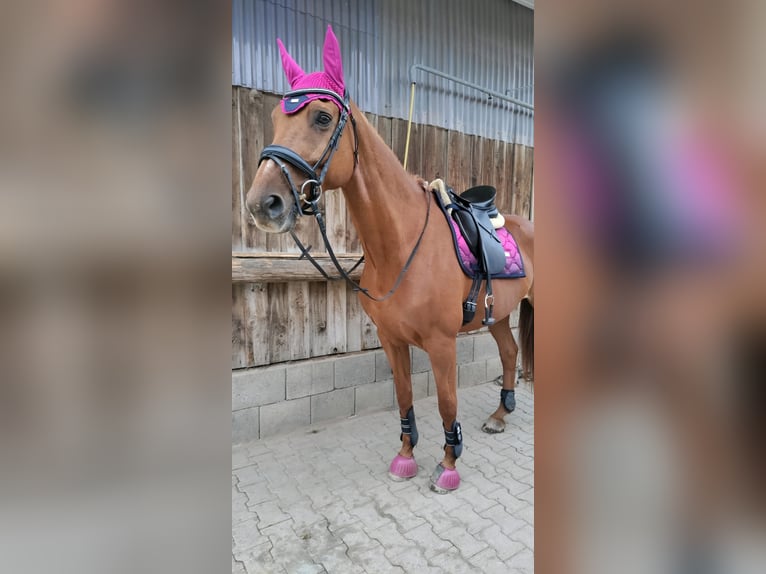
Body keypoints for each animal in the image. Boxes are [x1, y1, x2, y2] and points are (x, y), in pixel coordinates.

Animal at [246, 26, 534, 493]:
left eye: (322, 117)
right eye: (274, 118)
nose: (262, 204)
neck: (401, 249)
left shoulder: (441, 344)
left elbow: (447, 403)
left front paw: (448, 466)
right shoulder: (392, 340)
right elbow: (405, 397)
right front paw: (406, 455)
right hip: (501, 313)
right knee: (509, 354)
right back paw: (499, 415)